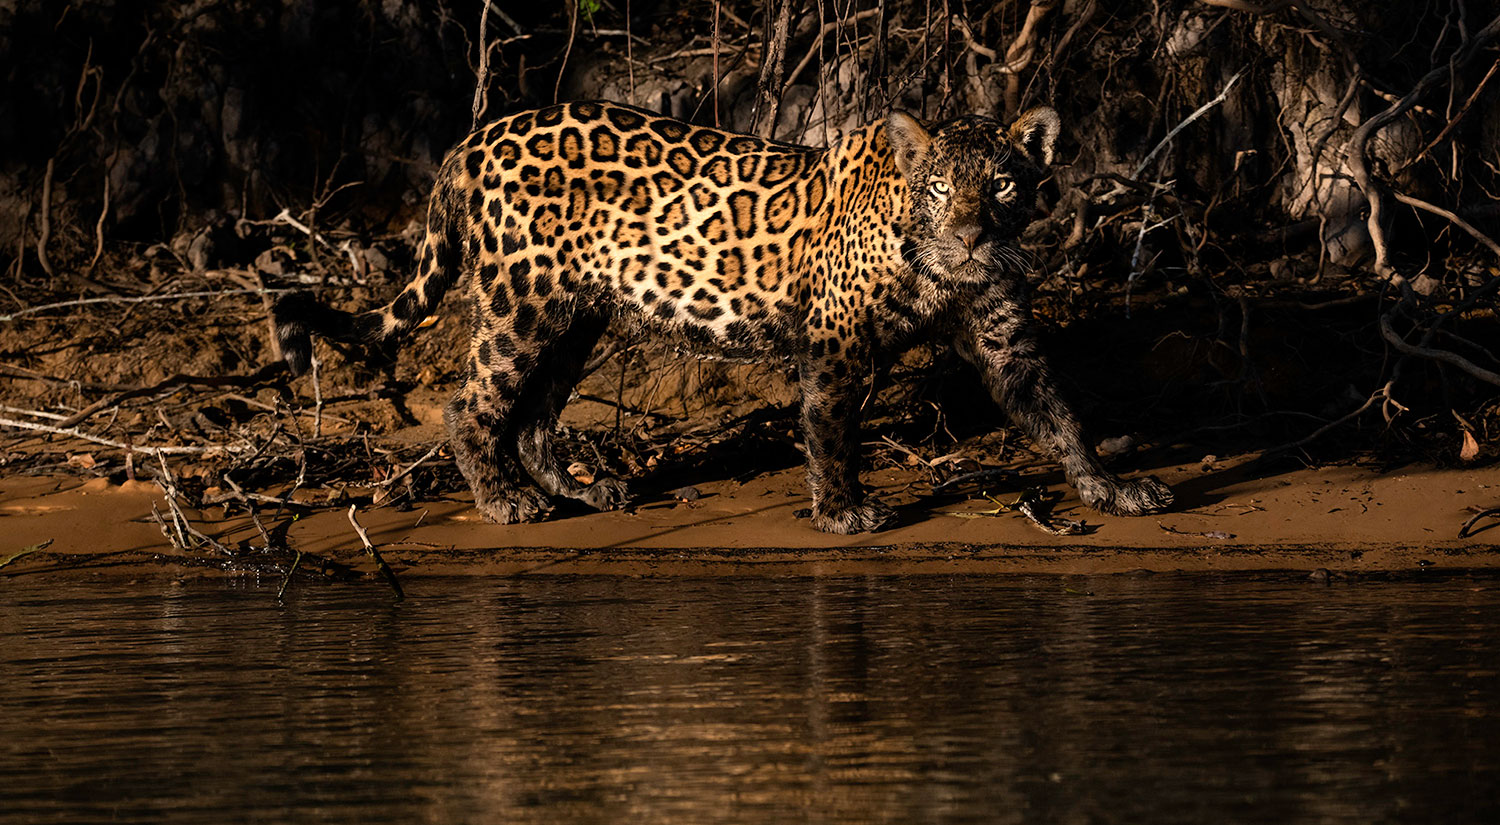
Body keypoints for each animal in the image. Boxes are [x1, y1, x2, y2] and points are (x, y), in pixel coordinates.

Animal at [273, 100, 1173, 534]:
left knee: (534, 414)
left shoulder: (1002, 335)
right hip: (519, 302)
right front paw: (841, 511)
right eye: (940, 188)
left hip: (577, 314)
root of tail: (474, 136)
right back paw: (505, 503)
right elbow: (831, 423)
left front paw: (1112, 488)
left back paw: (583, 490)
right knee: (473, 404)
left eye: (1004, 185)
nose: (970, 236)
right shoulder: (836, 335)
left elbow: (1061, 415)